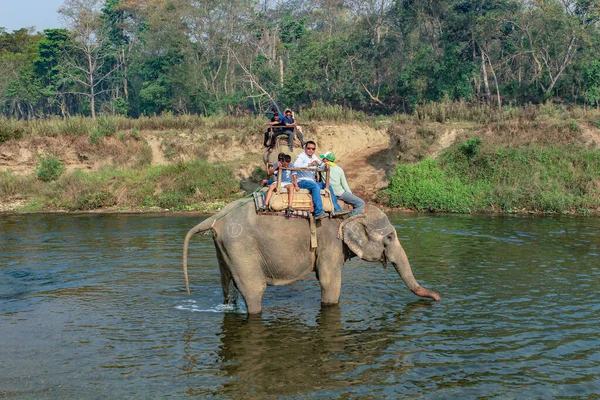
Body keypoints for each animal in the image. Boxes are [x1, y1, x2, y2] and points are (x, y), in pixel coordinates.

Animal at [183, 198, 440, 314]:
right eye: (390, 237)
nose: (438, 298)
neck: (347, 212)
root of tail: (215, 218)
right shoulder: (330, 242)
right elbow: (330, 282)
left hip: (225, 249)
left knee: (227, 286)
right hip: (240, 247)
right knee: (254, 291)